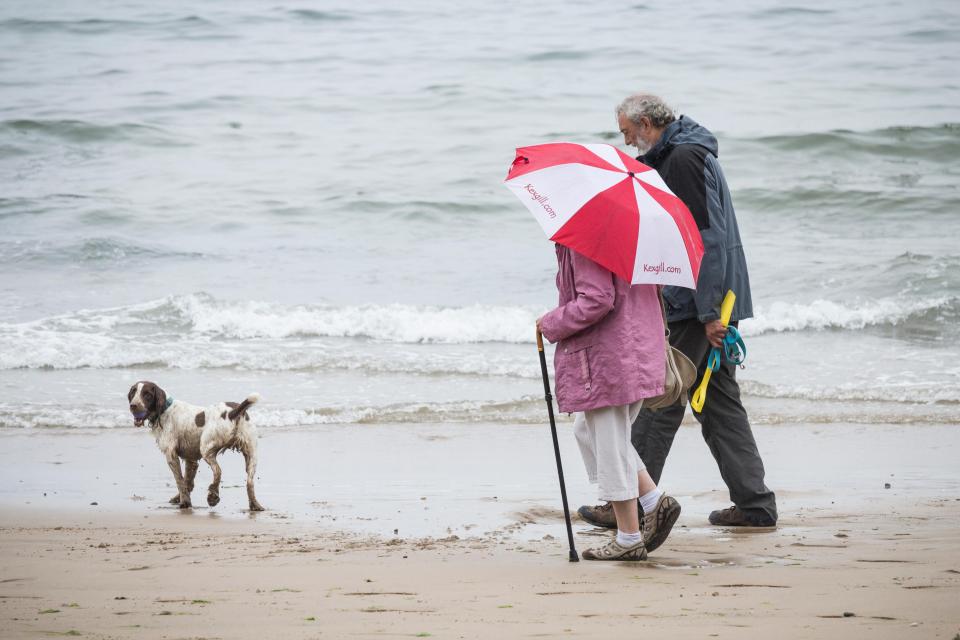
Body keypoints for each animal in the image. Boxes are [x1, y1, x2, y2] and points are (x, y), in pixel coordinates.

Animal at [126, 380, 266, 510]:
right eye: (133, 392)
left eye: (147, 394)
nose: (133, 406)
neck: (165, 410)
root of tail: (233, 412)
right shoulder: (191, 458)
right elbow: (187, 482)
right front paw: (180, 498)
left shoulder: (171, 455)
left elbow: (180, 481)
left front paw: (184, 502)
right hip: (251, 454)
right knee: (249, 482)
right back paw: (255, 505)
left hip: (206, 449)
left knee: (218, 471)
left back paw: (213, 496)